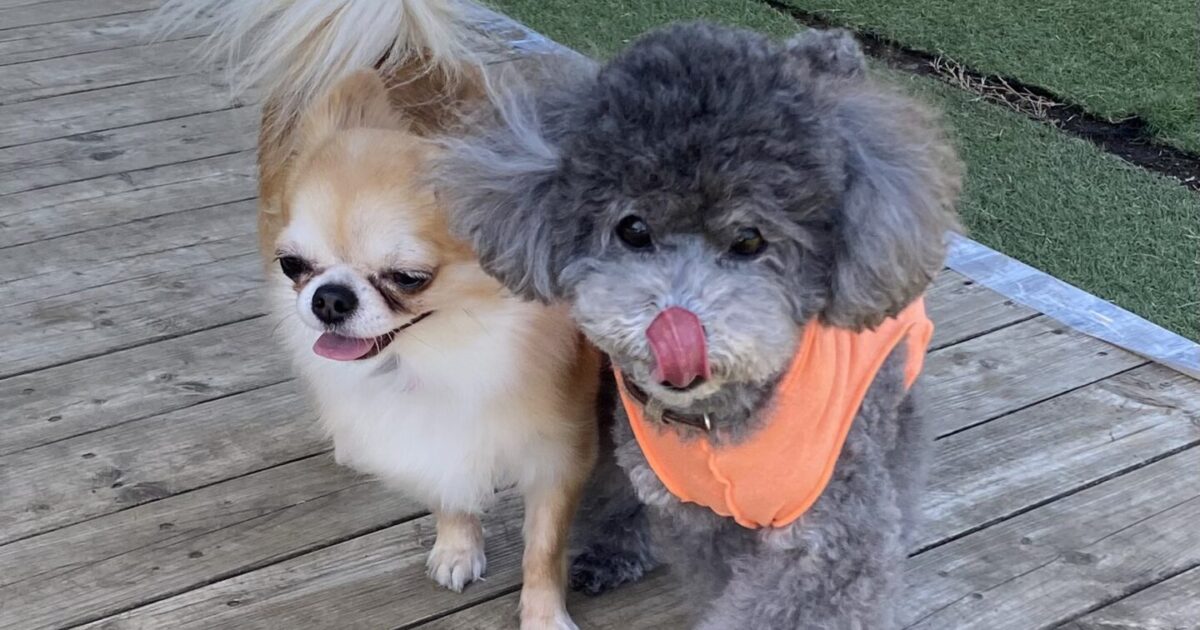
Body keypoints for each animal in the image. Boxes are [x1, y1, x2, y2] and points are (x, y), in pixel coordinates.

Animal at [154, 1, 600, 627]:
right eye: (293, 264)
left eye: (408, 277)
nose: (330, 298)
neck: (447, 350)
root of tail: (397, 46)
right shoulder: (420, 433)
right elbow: (443, 484)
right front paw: (458, 546)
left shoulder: (560, 452)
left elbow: (544, 547)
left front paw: (543, 614)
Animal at [436, 24, 961, 628]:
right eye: (633, 229)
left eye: (751, 239)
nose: (675, 327)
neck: (718, 422)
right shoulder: (695, 517)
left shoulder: (832, 536)